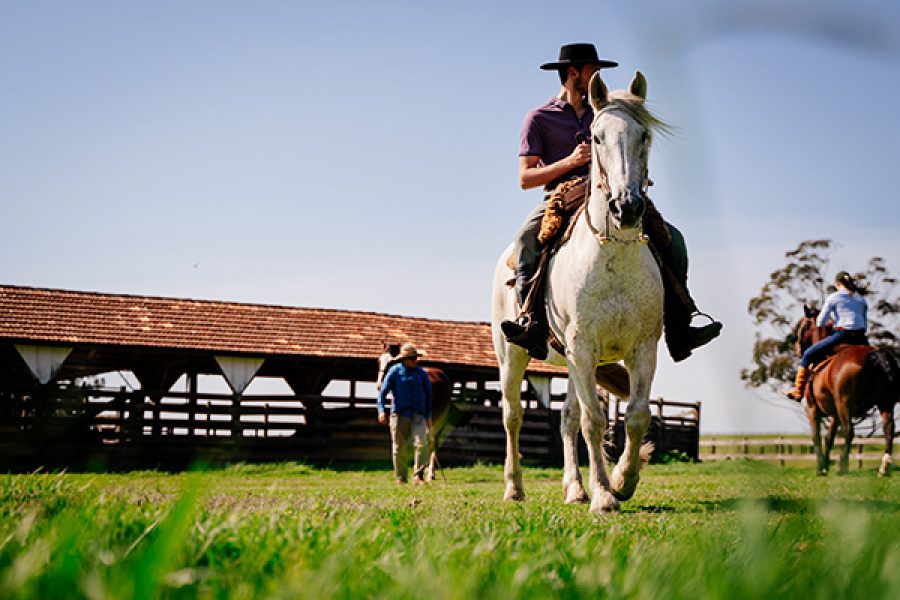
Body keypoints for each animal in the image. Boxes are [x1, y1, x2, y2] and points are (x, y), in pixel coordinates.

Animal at [492, 69, 668, 510]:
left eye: (644, 135)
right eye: (597, 137)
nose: (627, 207)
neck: (613, 256)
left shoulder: (642, 348)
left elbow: (635, 416)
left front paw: (622, 481)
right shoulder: (582, 346)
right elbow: (594, 421)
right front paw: (604, 496)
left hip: (572, 363)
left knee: (567, 417)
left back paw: (574, 488)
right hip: (514, 356)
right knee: (513, 417)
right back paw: (514, 488)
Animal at [800, 308, 896, 476]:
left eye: (803, 326)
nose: (797, 347)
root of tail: (874, 354)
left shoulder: (812, 409)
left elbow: (816, 437)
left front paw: (820, 468)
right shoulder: (835, 414)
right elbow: (829, 438)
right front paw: (825, 466)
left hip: (844, 404)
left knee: (849, 431)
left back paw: (842, 467)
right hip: (885, 403)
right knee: (888, 429)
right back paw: (883, 468)